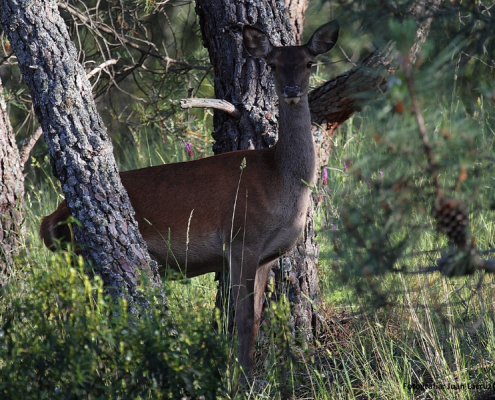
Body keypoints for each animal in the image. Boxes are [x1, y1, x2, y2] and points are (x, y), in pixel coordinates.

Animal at [39, 21, 340, 382]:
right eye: (273, 64)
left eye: (309, 62)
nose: (293, 89)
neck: (280, 181)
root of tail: (49, 222)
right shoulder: (241, 238)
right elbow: (241, 318)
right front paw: (240, 381)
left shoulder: (267, 254)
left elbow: (253, 317)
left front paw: (243, 374)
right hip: (82, 256)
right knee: (82, 319)